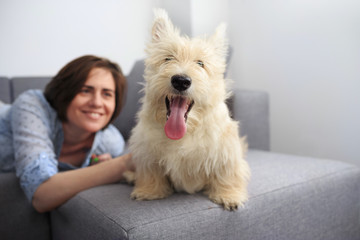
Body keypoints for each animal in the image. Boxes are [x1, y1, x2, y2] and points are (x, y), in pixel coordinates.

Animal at [127, 9, 250, 210]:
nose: (181, 81)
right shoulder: (147, 151)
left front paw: (229, 196)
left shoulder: (226, 151)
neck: (185, 132)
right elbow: (150, 172)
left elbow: (227, 173)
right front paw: (149, 191)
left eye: (200, 63)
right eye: (168, 58)